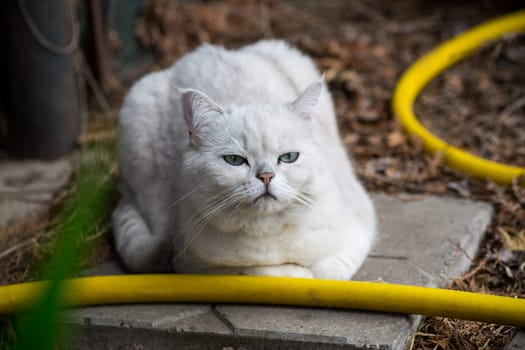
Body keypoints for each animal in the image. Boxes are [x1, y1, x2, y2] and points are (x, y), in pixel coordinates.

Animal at [112, 39, 374, 278]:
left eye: (289, 157)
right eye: (235, 160)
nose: (266, 176)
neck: (270, 238)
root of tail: (199, 52)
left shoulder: (360, 228)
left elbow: (327, 271)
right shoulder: (193, 264)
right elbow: (265, 271)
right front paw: (292, 272)